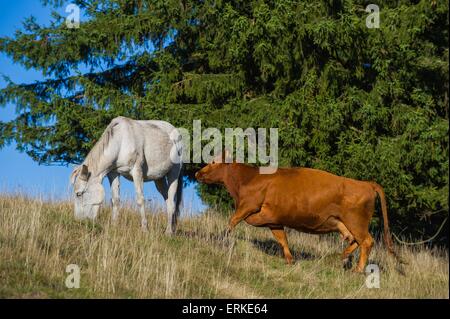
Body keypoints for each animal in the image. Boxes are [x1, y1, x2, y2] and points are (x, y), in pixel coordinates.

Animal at [195, 151, 400, 272]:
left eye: (213, 162)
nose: (197, 173)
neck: (247, 179)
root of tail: (365, 183)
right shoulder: (274, 220)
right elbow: (282, 239)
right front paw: (290, 260)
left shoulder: (248, 206)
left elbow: (233, 221)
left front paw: (222, 240)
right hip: (346, 222)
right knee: (353, 239)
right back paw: (342, 257)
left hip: (357, 222)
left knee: (366, 241)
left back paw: (357, 269)